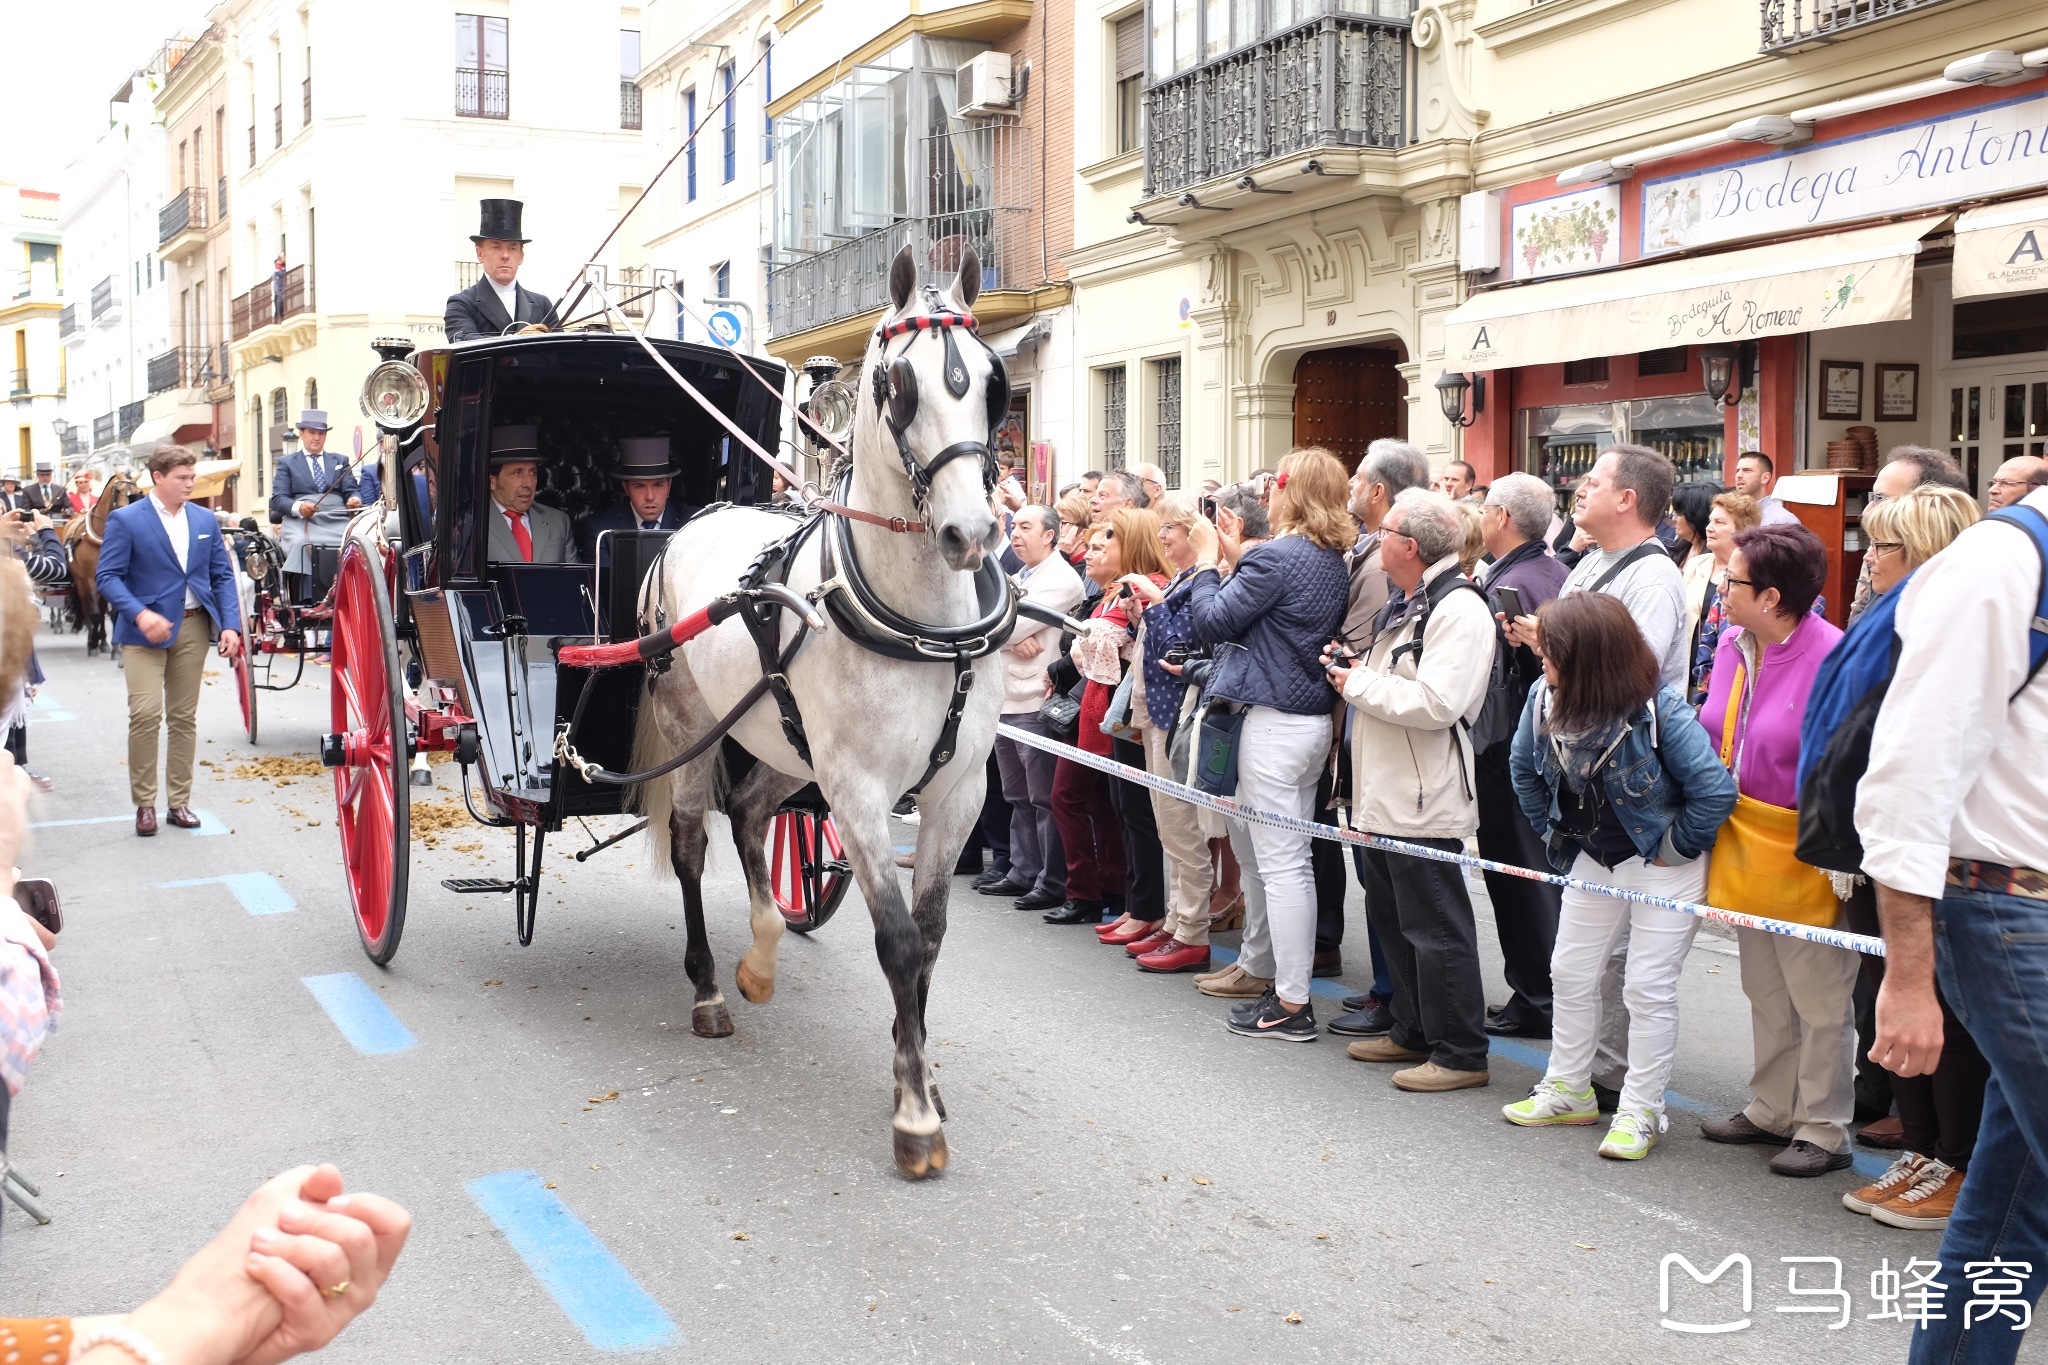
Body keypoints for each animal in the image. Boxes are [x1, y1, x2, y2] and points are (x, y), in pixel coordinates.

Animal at [626, 248, 1003, 1186]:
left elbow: (930, 935)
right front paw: (914, 1118)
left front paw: (922, 1073)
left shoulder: (959, 792)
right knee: (695, 840)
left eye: (993, 382)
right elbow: (897, 940)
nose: (971, 533)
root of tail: (694, 521)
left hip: (785, 748)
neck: (926, 621)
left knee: (753, 815)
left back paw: (761, 955)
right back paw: (710, 988)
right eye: (898, 386)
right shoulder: (860, 790)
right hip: (695, 727)